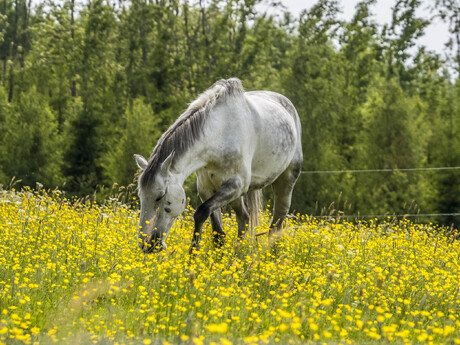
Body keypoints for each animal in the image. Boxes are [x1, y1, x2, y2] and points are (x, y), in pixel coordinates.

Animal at [135, 77, 304, 253]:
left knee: (276, 224)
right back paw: (237, 255)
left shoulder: (235, 185)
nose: (147, 245)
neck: (220, 133)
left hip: (285, 180)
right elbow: (218, 233)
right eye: (141, 196)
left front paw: (192, 255)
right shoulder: (206, 188)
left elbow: (201, 213)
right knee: (244, 217)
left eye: (160, 196)